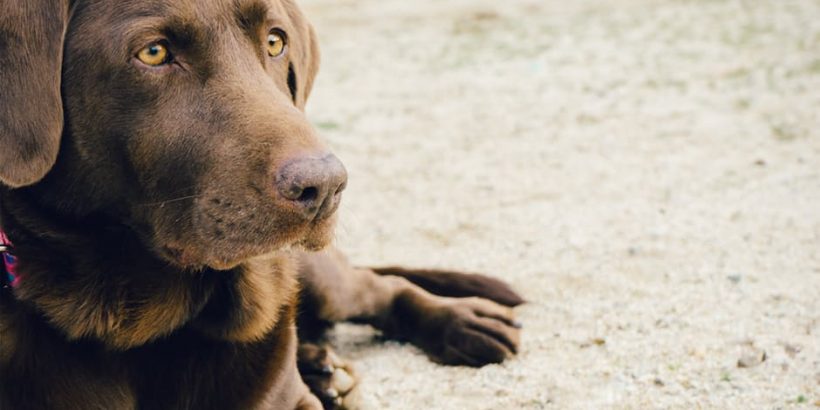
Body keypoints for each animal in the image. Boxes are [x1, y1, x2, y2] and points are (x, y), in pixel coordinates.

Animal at [0, 1, 524, 408]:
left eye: (275, 42)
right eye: (153, 52)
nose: (325, 186)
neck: (136, 328)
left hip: (319, 276)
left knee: (379, 286)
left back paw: (462, 322)